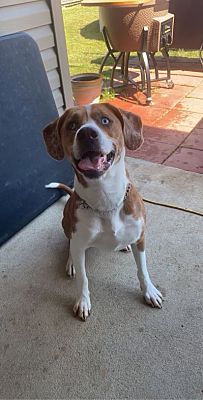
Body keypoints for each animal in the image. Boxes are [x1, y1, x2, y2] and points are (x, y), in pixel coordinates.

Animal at [43, 103, 163, 322]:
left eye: (105, 120)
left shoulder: (140, 238)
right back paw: (71, 262)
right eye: (72, 125)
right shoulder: (79, 242)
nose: (86, 134)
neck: (105, 199)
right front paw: (83, 301)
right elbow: (83, 278)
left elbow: (142, 269)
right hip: (66, 224)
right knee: (70, 246)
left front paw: (149, 291)